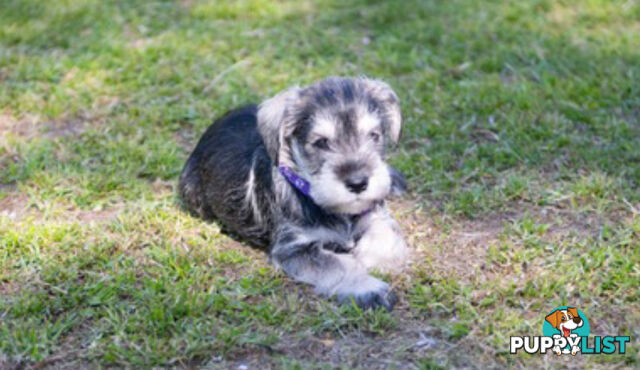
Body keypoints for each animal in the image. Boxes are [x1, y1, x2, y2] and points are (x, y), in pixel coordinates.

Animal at [179, 76, 410, 310]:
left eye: (374, 135)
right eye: (321, 142)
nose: (358, 183)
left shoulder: (377, 217)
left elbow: (385, 239)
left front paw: (367, 260)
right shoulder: (294, 248)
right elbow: (338, 264)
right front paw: (367, 287)